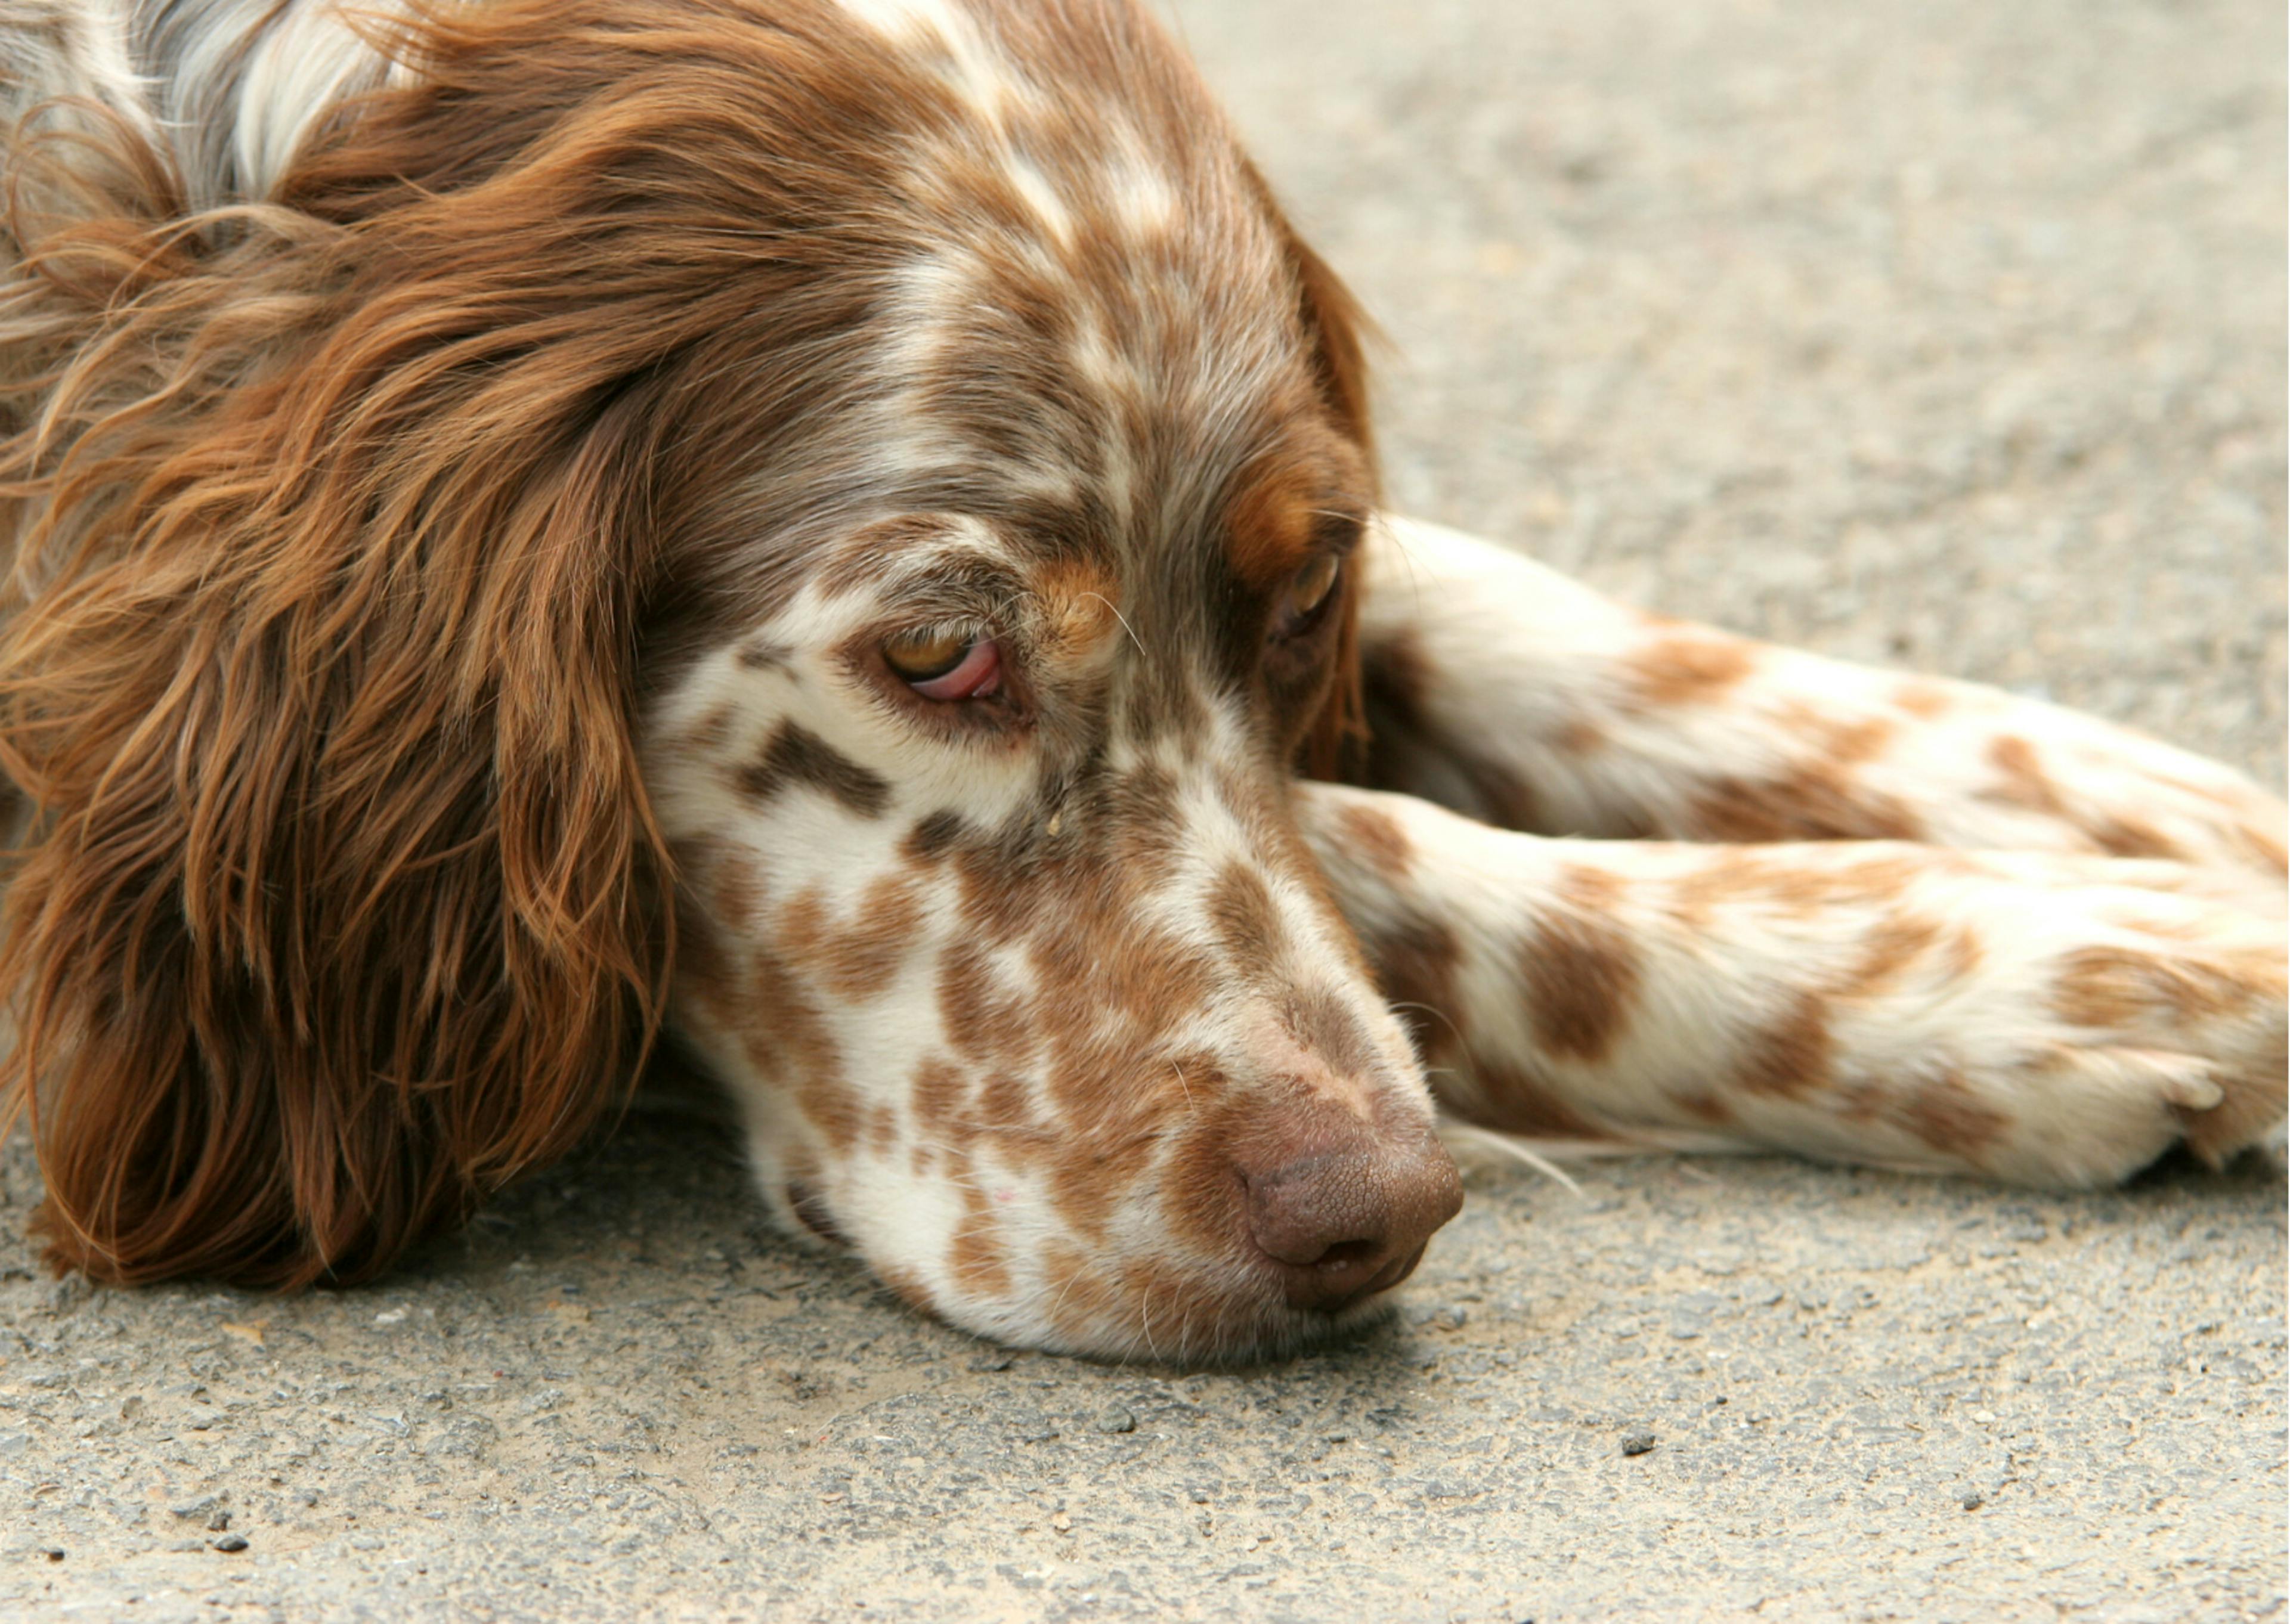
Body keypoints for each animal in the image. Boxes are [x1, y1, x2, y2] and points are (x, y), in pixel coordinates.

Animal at [4, 0, 2290, 1365]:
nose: (1374, 1215)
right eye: (937, 650)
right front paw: (2081, 970)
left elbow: (1495, 621)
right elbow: (1407, 863)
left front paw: (2138, 813)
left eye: (1300, 592)